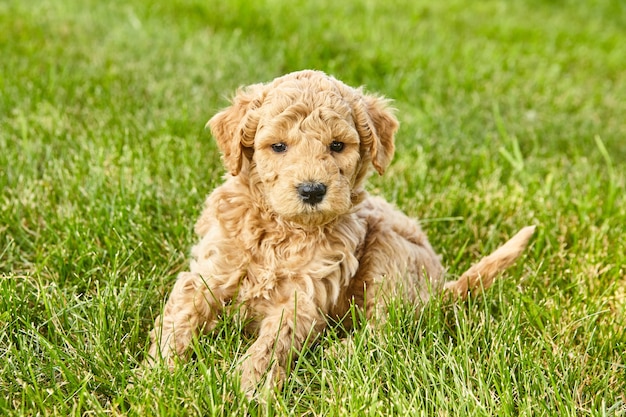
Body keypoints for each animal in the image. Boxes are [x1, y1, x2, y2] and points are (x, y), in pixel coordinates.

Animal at [145, 70, 532, 394]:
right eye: (278, 146)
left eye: (337, 146)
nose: (312, 190)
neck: (283, 231)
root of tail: (439, 289)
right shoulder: (211, 270)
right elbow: (181, 316)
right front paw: (157, 376)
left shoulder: (304, 297)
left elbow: (272, 343)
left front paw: (249, 389)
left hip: (387, 250)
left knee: (390, 329)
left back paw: (338, 354)